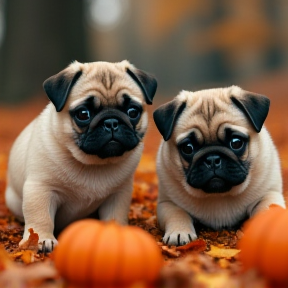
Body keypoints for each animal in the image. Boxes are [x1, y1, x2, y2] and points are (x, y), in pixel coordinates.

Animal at [5, 59, 158, 251]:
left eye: (132, 112)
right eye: (83, 114)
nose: (111, 121)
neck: (94, 163)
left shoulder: (118, 195)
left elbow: (115, 217)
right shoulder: (41, 189)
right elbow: (41, 217)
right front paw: (42, 239)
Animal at [154, 85, 284, 245]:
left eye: (236, 143)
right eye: (188, 148)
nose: (212, 159)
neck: (219, 195)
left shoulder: (269, 194)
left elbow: (268, 211)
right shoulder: (168, 203)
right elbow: (177, 214)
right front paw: (179, 232)